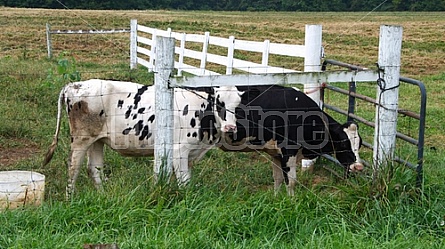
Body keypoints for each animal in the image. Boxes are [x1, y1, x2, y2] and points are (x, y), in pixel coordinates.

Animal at [43, 79, 243, 197]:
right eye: (218, 102)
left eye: (238, 105)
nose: (230, 127)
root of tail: (73, 85)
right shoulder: (180, 151)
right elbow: (184, 182)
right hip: (81, 138)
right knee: (73, 167)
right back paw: (70, 198)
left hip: (97, 140)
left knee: (94, 168)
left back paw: (103, 195)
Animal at [217, 84, 362, 196]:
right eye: (343, 143)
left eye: (359, 144)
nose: (358, 166)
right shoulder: (289, 150)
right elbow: (291, 181)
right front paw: (291, 201)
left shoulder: (276, 153)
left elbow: (278, 178)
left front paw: (276, 199)